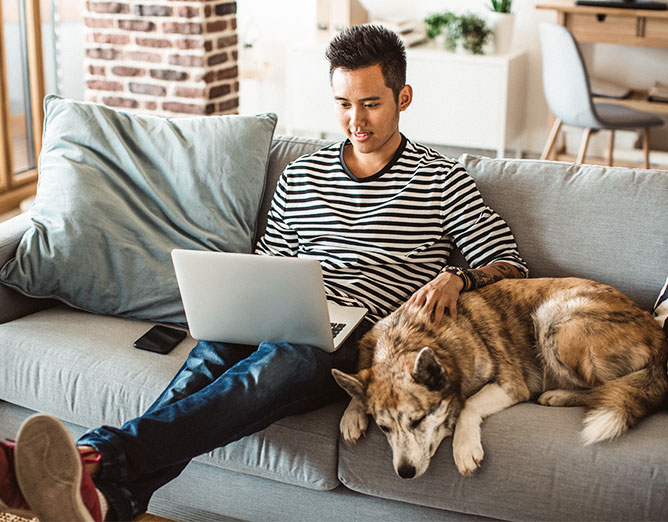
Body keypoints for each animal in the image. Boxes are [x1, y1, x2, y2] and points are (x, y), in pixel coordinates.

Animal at [332, 276, 668, 476]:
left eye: (418, 420)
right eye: (384, 428)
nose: (405, 473)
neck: (412, 338)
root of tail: (659, 334)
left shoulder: (510, 384)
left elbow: (469, 404)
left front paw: (464, 447)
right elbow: (357, 386)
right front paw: (352, 414)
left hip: (554, 318)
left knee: (605, 387)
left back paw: (557, 395)